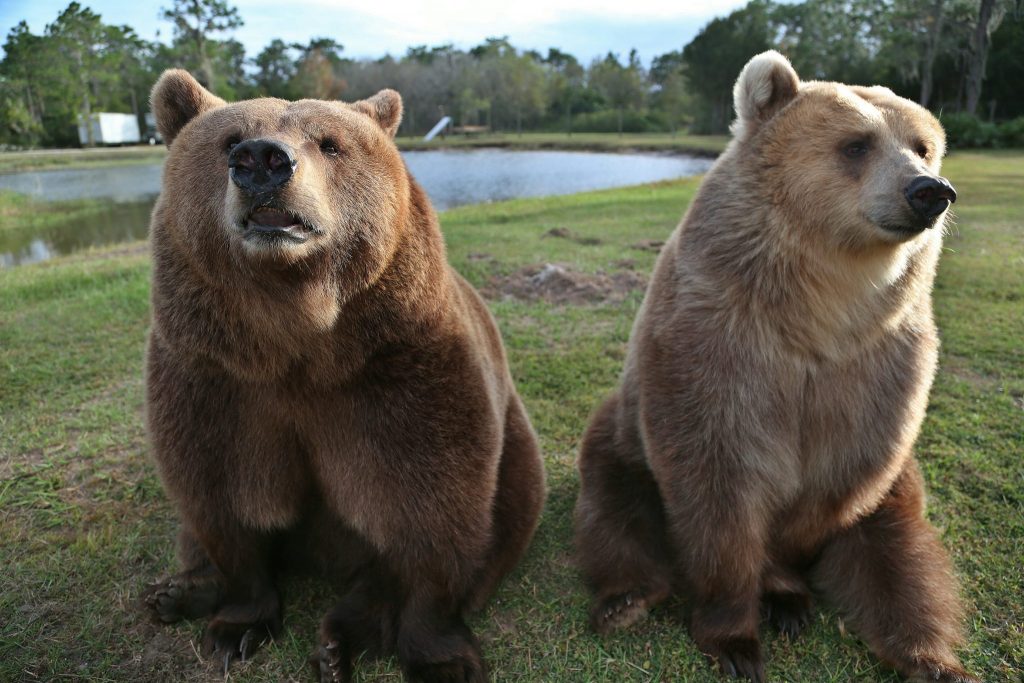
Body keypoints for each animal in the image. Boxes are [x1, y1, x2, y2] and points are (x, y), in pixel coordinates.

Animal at [140, 70, 548, 683]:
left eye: (330, 143)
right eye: (229, 139)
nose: (262, 160)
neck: (298, 338)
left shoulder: (399, 372)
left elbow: (433, 512)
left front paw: (440, 658)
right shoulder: (214, 378)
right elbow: (223, 499)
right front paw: (235, 627)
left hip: (519, 463)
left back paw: (339, 641)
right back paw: (179, 593)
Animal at [573, 52, 978, 683]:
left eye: (922, 145)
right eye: (857, 144)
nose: (929, 191)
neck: (819, 311)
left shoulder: (877, 363)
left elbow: (835, 484)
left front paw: (786, 594)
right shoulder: (720, 343)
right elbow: (717, 486)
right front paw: (737, 639)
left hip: (899, 489)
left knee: (904, 563)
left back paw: (933, 659)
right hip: (621, 440)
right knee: (613, 507)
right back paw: (625, 600)